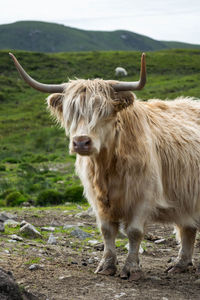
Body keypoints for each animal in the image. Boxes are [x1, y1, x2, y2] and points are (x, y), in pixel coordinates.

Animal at [10, 52, 200, 280]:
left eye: (103, 112)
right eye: (72, 113)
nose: (81, 142)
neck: (107, 167)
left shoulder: (143, 197)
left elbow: (134, 232)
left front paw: (131, 268)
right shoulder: (97, 199)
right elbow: (107, 231)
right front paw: (106, 266)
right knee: (187, 228)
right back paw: (180, 264)